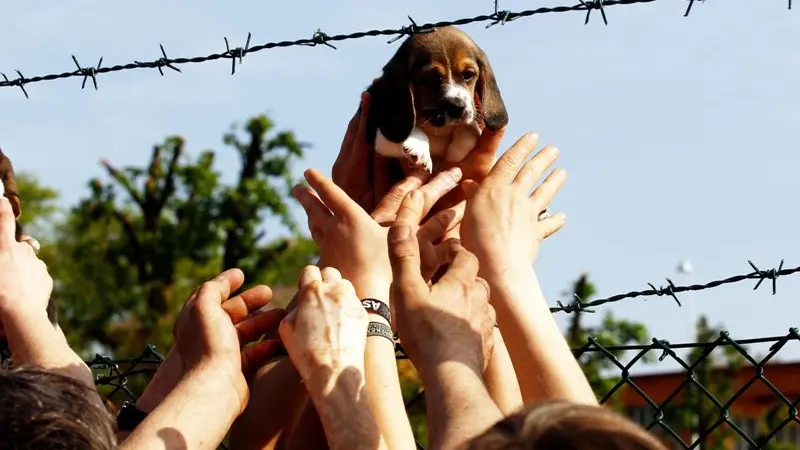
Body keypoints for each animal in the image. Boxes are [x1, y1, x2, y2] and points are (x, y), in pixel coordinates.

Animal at [368, 25, 506, 172]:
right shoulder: (377, 134)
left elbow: (469, 131)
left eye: (468, 74)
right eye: (431, 79)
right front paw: (418, 146)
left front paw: (455, 152)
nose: (457, 107)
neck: (438, 127)